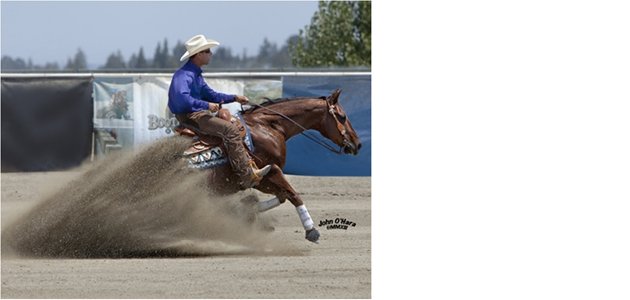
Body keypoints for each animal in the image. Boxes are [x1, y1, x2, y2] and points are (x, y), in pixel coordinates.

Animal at [178, 88, 362, 243]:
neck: (267, 126)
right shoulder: (269, 172)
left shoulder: (261, 180)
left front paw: (246, 209)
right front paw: (311, 231)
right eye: (342, 116)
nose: (357, 144)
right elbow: (293, 195)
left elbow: (282, 196)